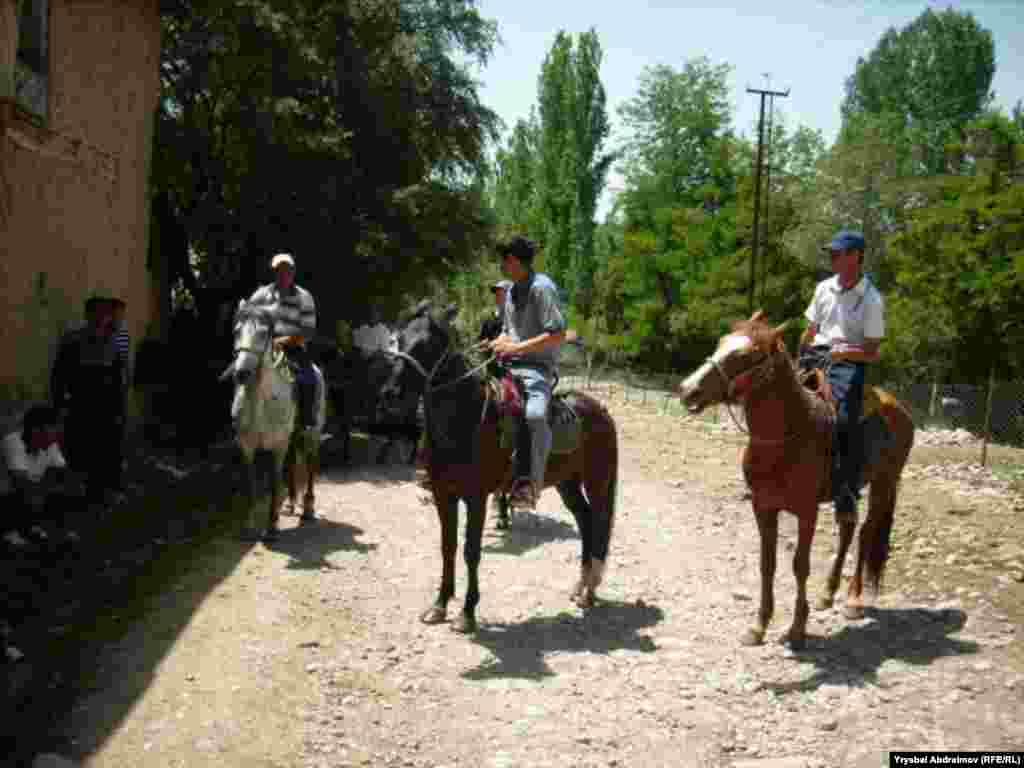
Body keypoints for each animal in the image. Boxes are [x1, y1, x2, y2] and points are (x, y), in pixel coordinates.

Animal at [227, 301, 323, 540]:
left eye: (263, 333)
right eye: (236, 331)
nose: (242, 373)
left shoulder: (277, 446)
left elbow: (273, 481)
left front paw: (271, 528)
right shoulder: (247, 446)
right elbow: (251, 483)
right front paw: (249, 527)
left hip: (313, 432)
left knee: (310, 464)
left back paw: (308, 509)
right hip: (293, 435)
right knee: (293, 462)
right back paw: (290, 504)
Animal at [382, 303, 614, 634]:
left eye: (426, 344)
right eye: (399, 339)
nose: (391, 393)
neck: (464, 419)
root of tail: (599, 410)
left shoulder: (476, 497)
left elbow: (471, 551)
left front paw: (467, 613)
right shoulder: (443, 495)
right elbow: (448, 547)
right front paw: (439, 606)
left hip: (598, 481)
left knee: (598, 522)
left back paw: (590, 590)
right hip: (567, 483)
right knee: (585, 519)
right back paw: (581, 587)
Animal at [679, 311, 913, 651]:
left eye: (746, 355)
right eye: (721, 342)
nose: (688, 389)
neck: (787, 436)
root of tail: (900, 409)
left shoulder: (806, 512)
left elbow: (800, 566)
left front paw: (797, 630)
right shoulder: (763, 506)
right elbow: (768, 564)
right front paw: (759, 626)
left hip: (885, 483)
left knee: (866, 533)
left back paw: (853, 600)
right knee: (848, 527)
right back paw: (827, 594)